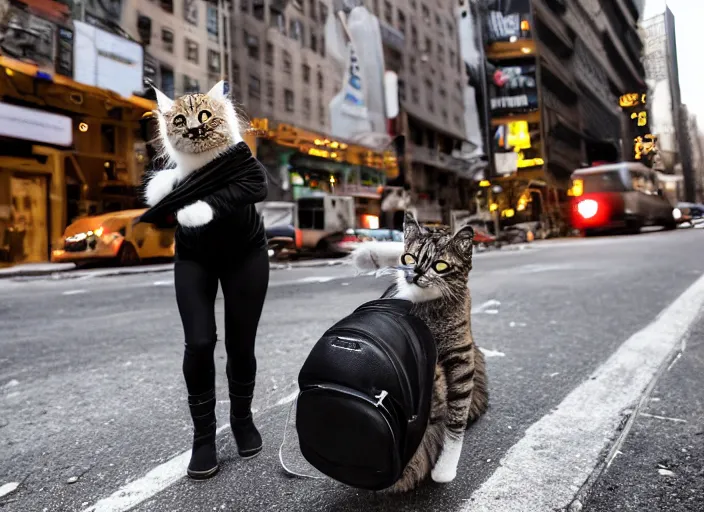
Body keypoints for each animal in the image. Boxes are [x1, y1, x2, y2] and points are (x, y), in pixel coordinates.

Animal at [354, 212, 486, 492]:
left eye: (440, 266)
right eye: (409, 258)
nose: (414, 273)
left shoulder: (461, 358)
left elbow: (456, 419)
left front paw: (445, 468)